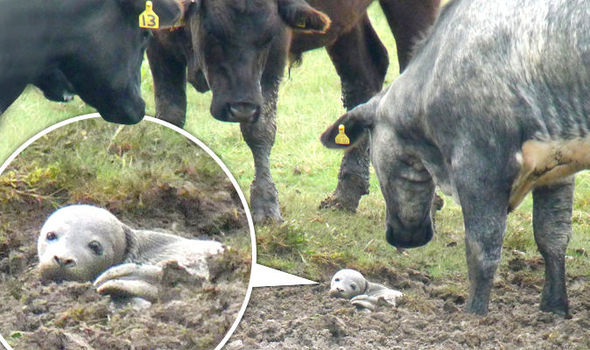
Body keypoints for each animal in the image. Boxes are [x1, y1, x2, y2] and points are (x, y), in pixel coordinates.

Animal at [146, 0, 442, 223]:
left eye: (267, 38)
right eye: (213, 33)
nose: (241, 107)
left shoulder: (276, 53)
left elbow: (260, 130)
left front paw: (266, 206)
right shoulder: (157, 43)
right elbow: (170, 114)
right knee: (364, 74)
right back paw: (345, 195)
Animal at [324, 0, 590, 318]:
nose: (403, 237)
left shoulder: (479, 164)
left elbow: (482, 247)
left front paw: (474, 314)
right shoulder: (557, 163)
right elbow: (553, 236)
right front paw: (554, 309)